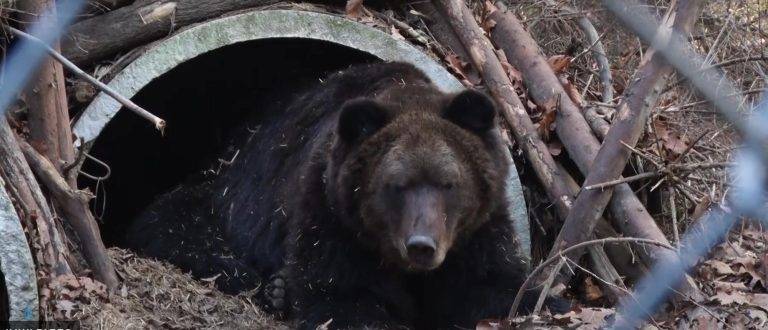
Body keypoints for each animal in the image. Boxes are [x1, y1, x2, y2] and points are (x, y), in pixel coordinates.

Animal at [130, 61, 552, 328]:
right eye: (396, 185)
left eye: (449, 183)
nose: (421, 245)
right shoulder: (330, 216)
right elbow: (344, 297)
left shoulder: (477, 229)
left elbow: (493, 287)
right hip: (228, 197)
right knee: (181, 229)